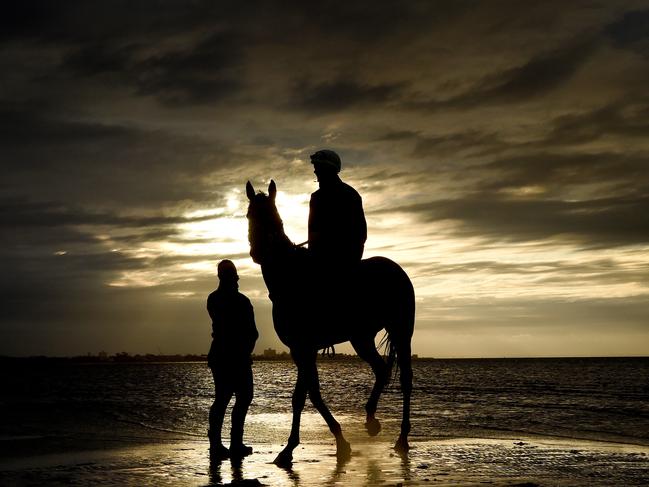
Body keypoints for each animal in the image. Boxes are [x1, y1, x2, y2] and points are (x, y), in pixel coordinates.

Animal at [243, 180, 416, 466]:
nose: (258, 252)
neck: (291, 278)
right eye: (249, 215)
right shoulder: (300, 349)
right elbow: (307, 394)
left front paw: (314, 444)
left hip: (401, 331)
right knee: (381, 369)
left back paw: (402, 438)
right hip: (361, 337)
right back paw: (371, 420)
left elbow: (305, 395)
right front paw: (310, 444)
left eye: (275, 217)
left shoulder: (304, 347)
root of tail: (397, 270)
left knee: (405, 379)